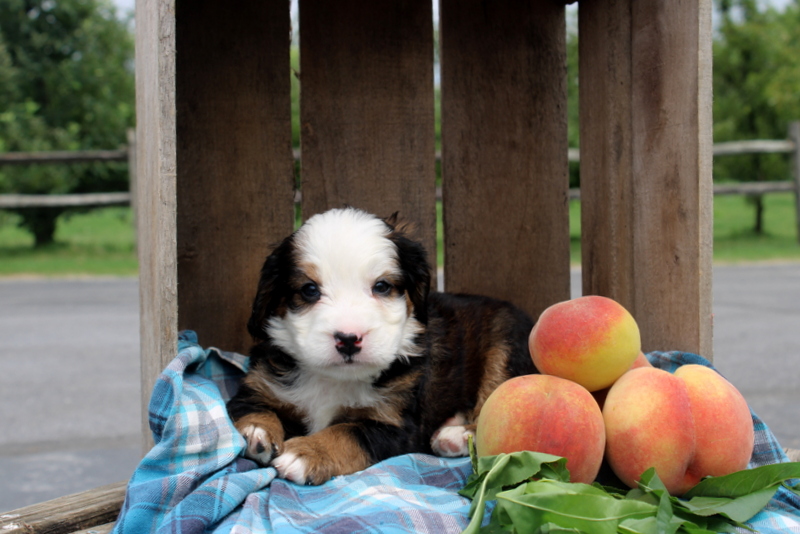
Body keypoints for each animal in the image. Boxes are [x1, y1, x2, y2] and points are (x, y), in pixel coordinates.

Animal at [225, 209, 536, 486]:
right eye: (310, 289)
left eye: (382, 286)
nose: (348, 339)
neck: (333, 379)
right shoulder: (258, 386)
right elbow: (253, 408)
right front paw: (257, 432)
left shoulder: (395, 424)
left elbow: (346, 432)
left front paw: (307, 453)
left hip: (506, 347)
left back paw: (456, 435)